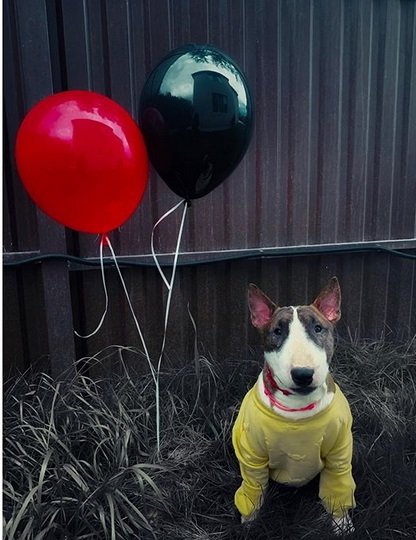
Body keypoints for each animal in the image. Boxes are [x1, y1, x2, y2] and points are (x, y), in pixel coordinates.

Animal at [232, 278, 356, 536]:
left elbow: (337, 489)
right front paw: (249, 524)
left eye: (318, 328)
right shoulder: (252, 457)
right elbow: (252, 489)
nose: (303, 374)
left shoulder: (339, 455)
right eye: (277, 331)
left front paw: (342, 524)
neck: (298, 408)